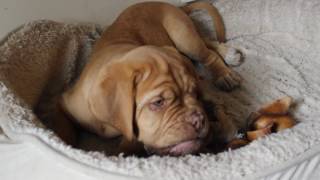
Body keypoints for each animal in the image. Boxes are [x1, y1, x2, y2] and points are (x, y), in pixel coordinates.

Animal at [60, 1, 241, 155]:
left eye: (194, 93)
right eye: (158, 103)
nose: (199, 120)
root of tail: (172, 6)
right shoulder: (63, 103)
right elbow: (64, 128)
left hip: (183, 35)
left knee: (208, 54)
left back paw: (225, 73)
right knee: (208, 42)